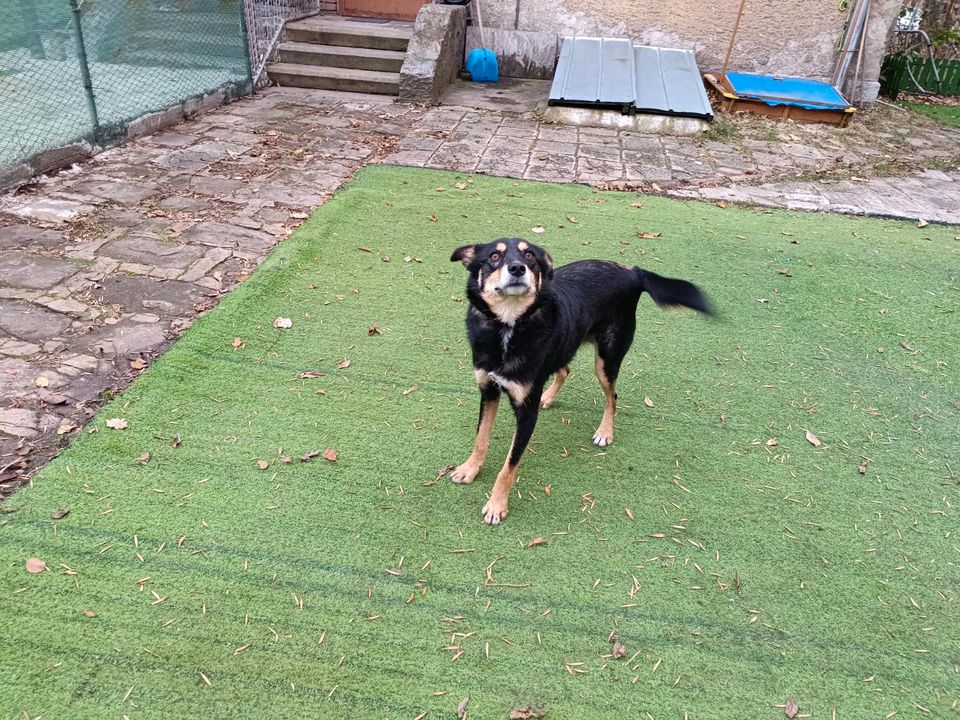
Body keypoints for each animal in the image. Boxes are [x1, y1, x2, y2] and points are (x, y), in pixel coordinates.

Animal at [450, 239, 712, 524]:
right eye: (494, 256)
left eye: (529, 255)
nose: (518, 268)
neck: (508, 326)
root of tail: (633, 271)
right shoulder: (488, 389)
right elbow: (480, 438)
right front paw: (469, 469)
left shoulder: (526, 412)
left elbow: (509, 465)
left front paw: (497, 505)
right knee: (565, 370)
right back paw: (548, 398)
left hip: (607, 359)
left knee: (612, 396)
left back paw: (605, 432)